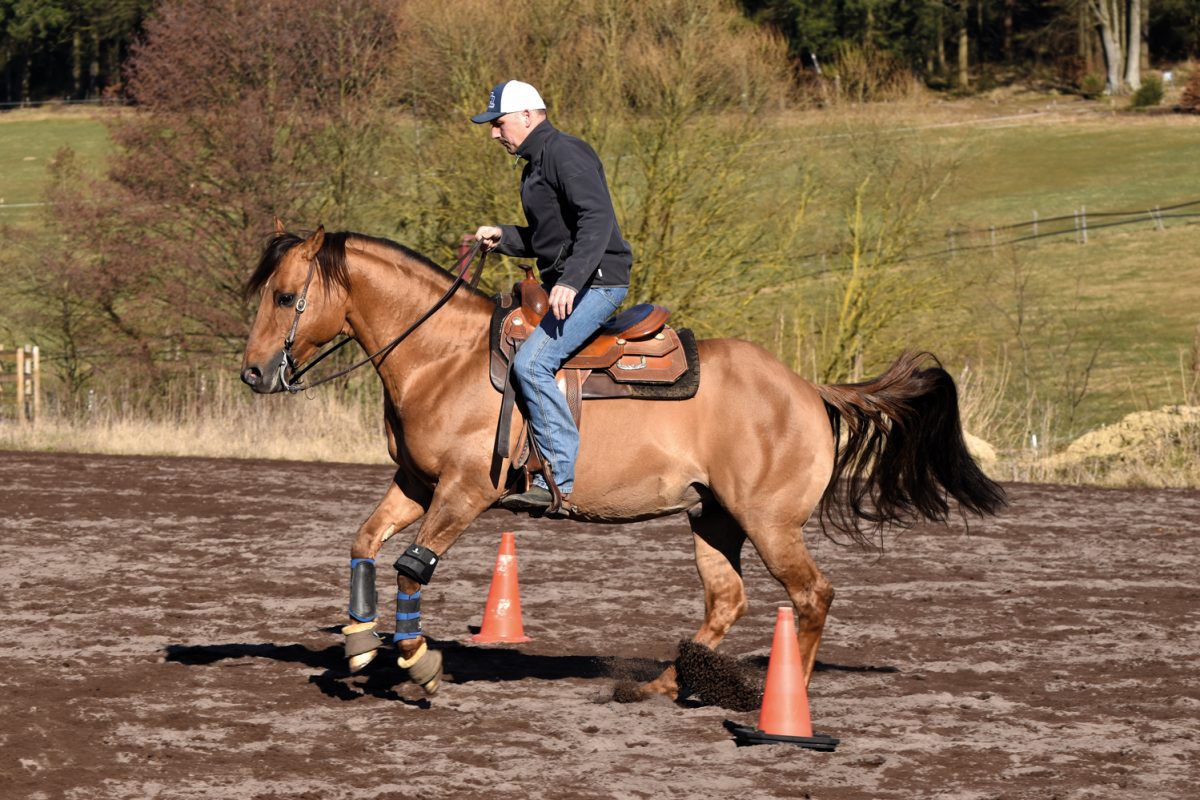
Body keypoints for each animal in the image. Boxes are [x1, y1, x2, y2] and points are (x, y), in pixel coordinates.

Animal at [239, 223, 1006, 698]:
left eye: (285, 296)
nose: (252, 373)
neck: (442, 359)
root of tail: (807, 387)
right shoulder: (416, 484)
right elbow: (364, 542)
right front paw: (360, 644)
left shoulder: (465, 492)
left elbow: (410, 566)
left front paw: (418, 662)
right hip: (712, 518)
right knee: (726, 600)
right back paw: (664, 684)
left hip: (769, 521)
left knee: (811, 595)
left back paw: (788, 695)